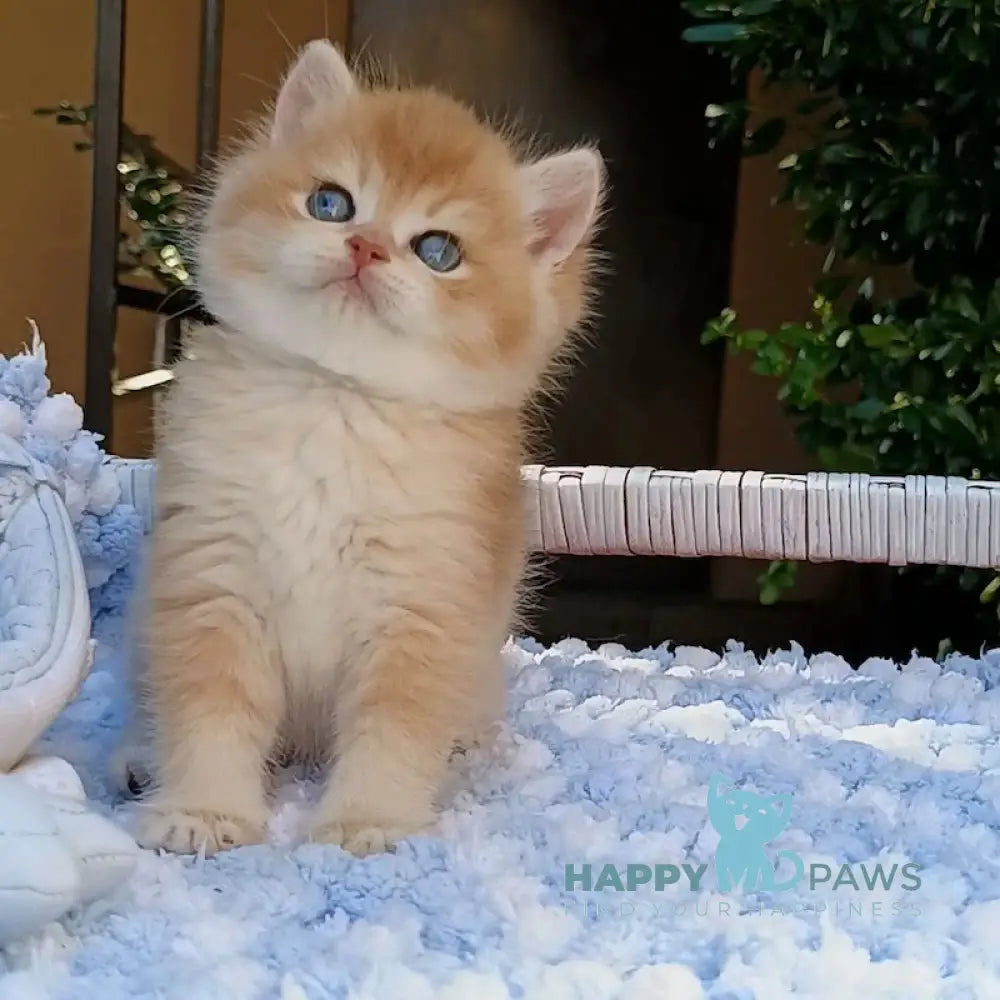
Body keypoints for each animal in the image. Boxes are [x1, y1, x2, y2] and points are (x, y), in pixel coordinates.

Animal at [117, 37, 600, 852]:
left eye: (438, 250)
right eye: (331, 203)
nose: (366, 247)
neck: (334, 401)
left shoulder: (422, 605)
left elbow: (393, 728)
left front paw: (365, 821)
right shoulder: (214, 574)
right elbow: (211, 708)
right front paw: (205, 810)